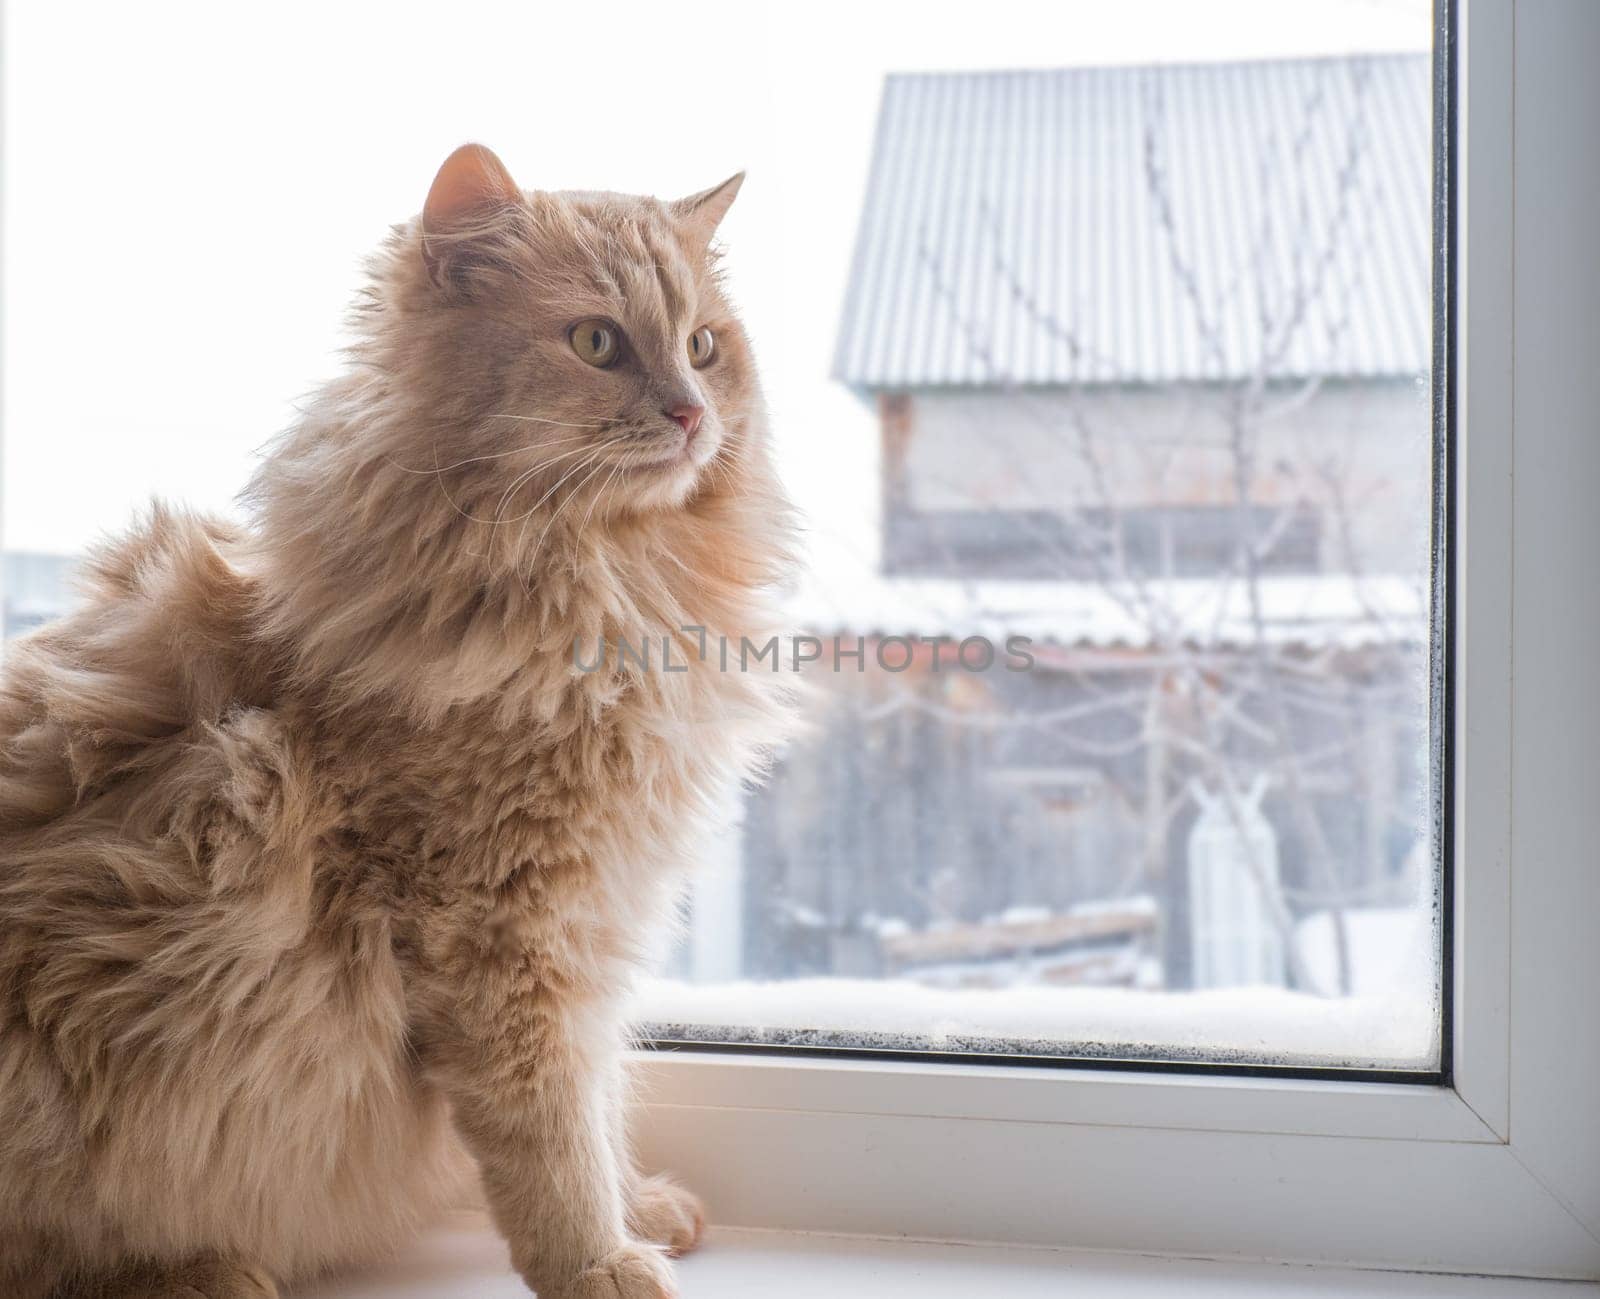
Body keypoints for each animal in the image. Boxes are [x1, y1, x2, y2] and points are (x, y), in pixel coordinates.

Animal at [0, 144, 796, 1299]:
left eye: (703, 347)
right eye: (597, 343)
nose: (693, 412)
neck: (608, 586)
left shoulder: (593, 922)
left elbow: (600, 1103)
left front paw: (640, 1209)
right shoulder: (499, 932)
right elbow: (552, 1133)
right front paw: (598, 1259)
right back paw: (204, 1273)